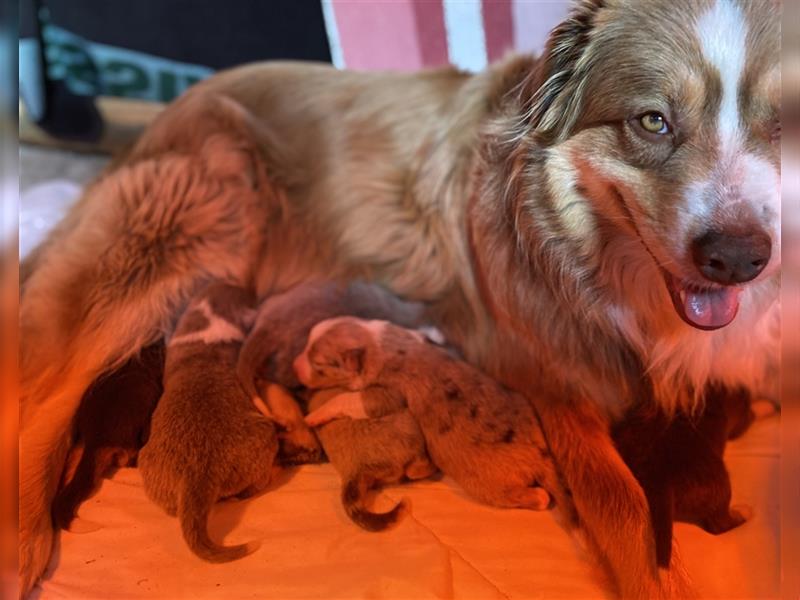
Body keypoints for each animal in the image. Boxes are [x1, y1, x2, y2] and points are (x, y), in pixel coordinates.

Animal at [296, 318, 564, 516]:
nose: (293, 365)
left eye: (318, 363)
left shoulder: (387, 392)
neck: (377, 342)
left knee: (518, 496)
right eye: (306, 340)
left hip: (488, 481)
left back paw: (539, 497)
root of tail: (541, 458)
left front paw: (313, 416)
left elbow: (354, 400)